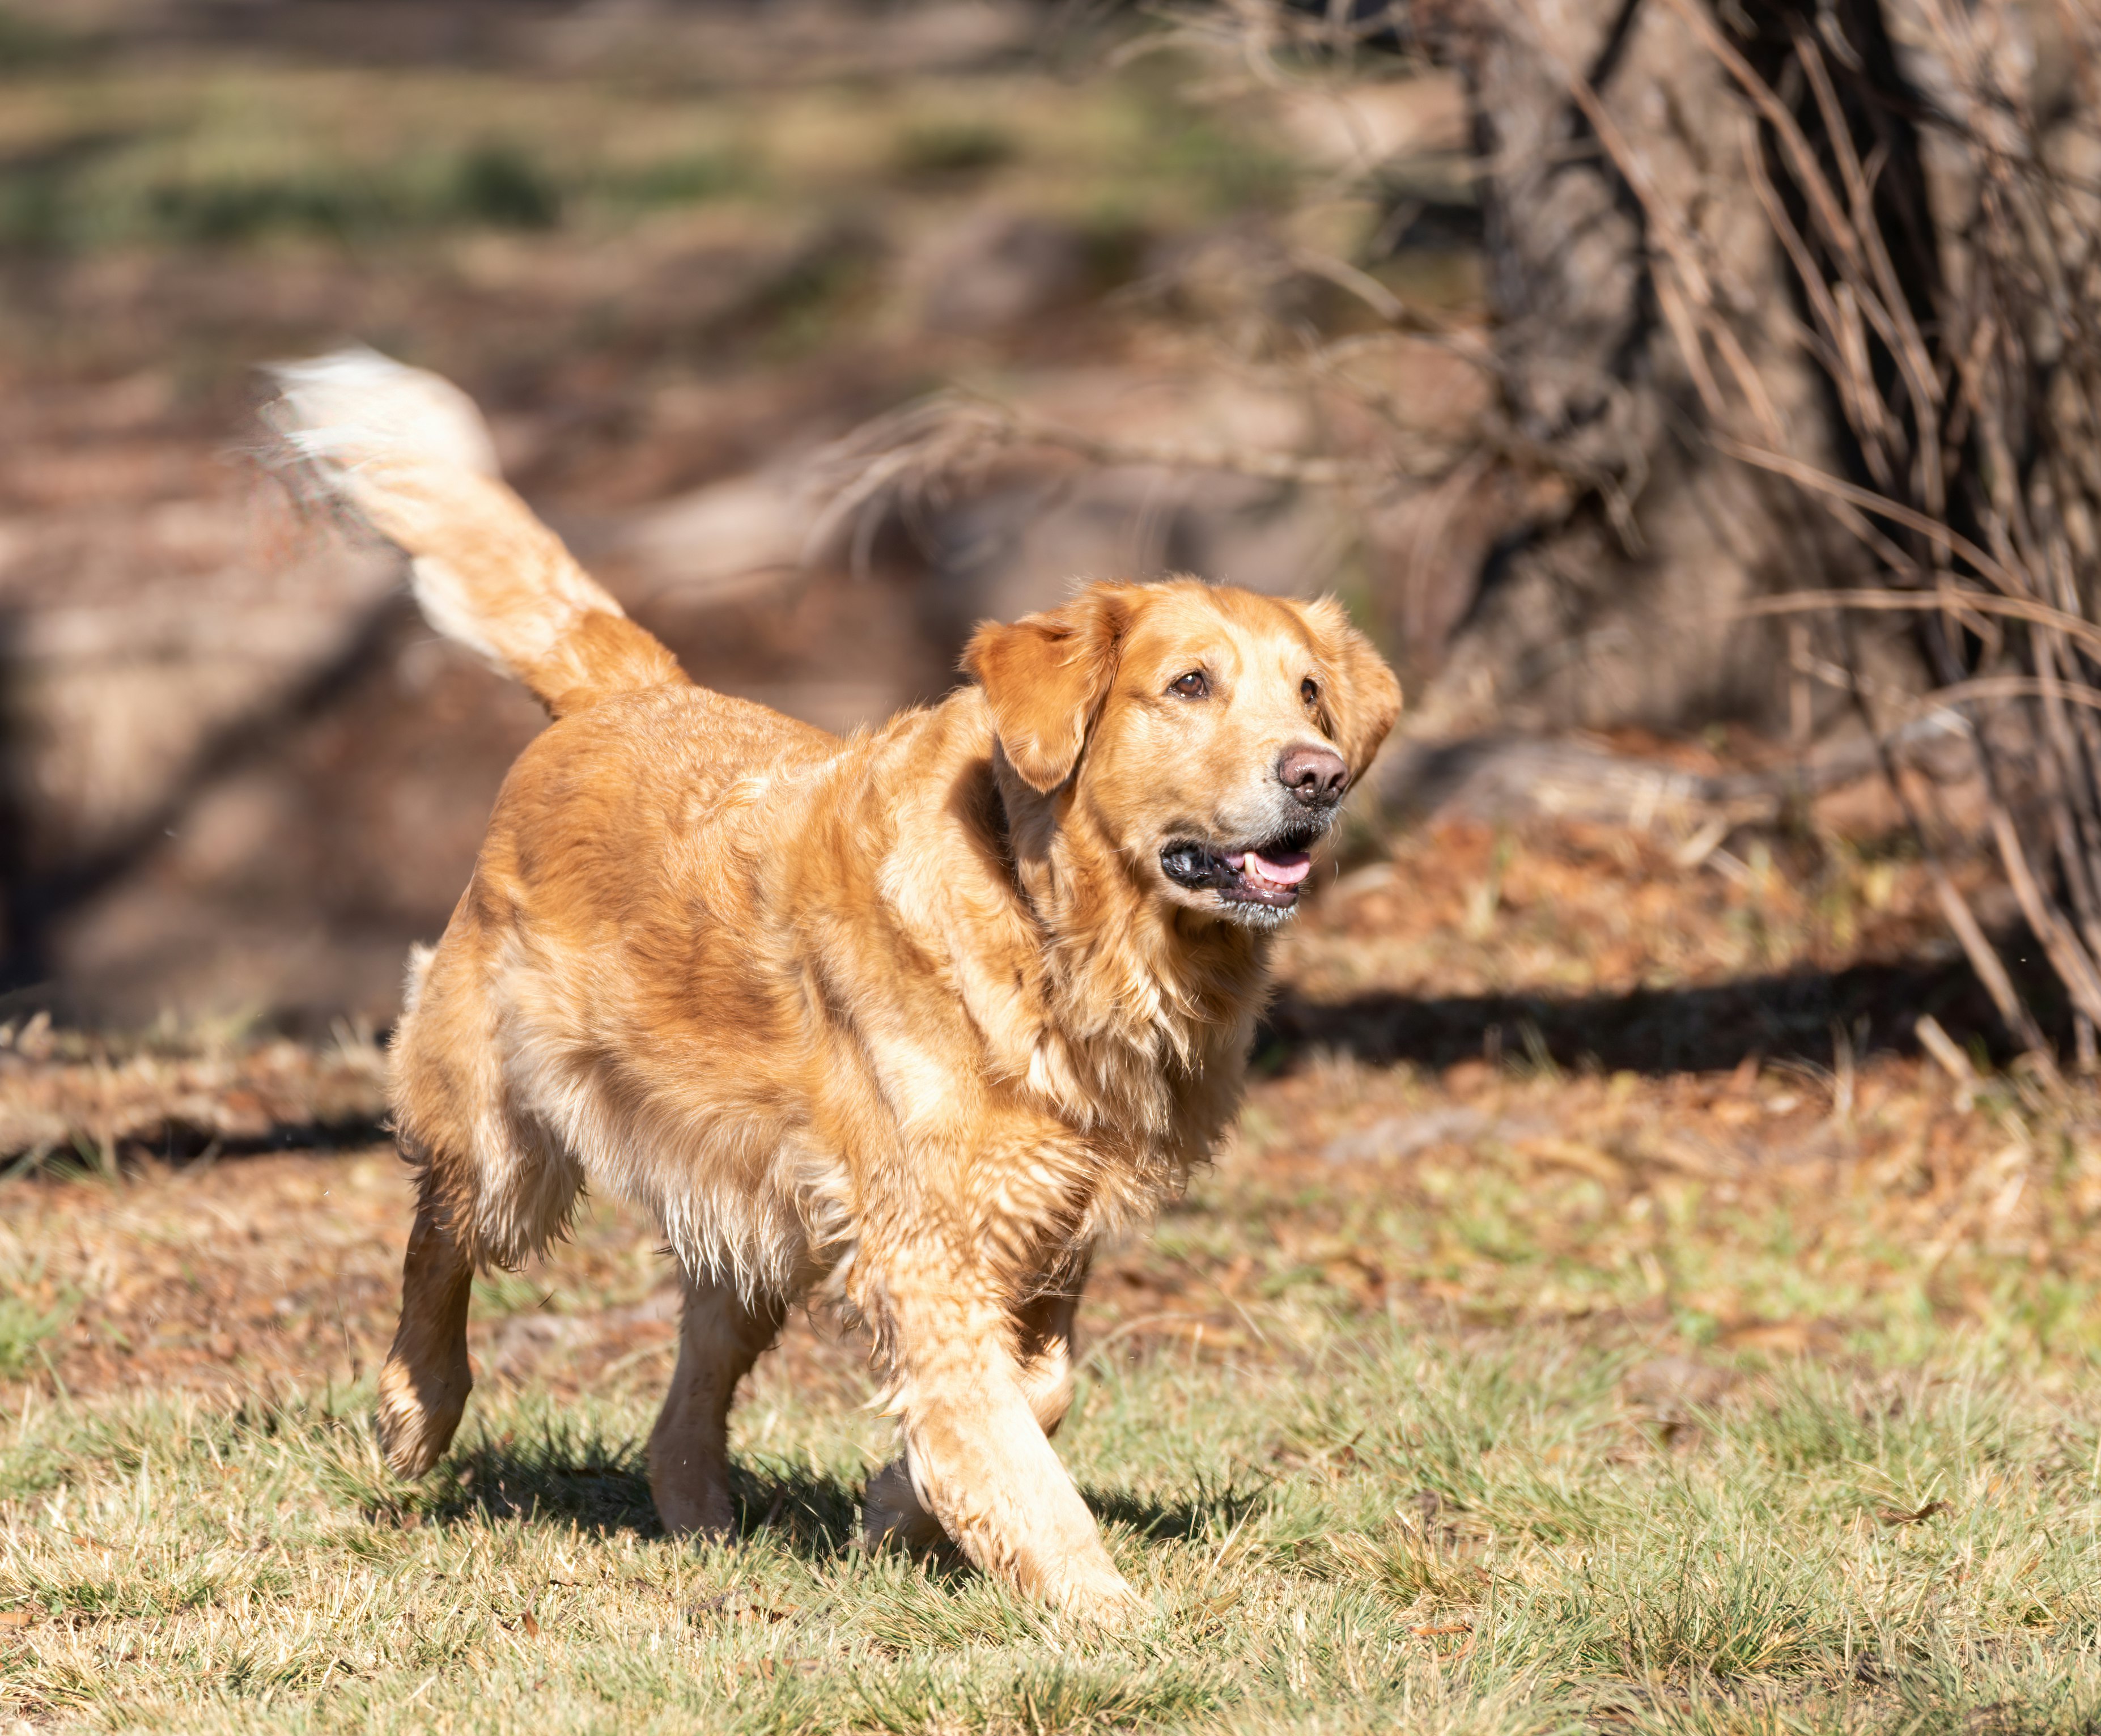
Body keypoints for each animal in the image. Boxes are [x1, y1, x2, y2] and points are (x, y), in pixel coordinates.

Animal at [271, 345, 1403, 1614]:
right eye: (1190, 684)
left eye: (1310, 693)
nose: (1317, 776)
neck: (1049, 932)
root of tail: (627, 691)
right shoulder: (926, 1239)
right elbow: (1011, 1437)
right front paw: (1100, 1607)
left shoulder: (1046, 1227)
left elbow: (1031, 1392)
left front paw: (895, 1504)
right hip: (507, 1145)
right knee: (438, 1236)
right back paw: (414, 1413)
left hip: (759, 1209)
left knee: (696, 1363)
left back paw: (698, 1508)